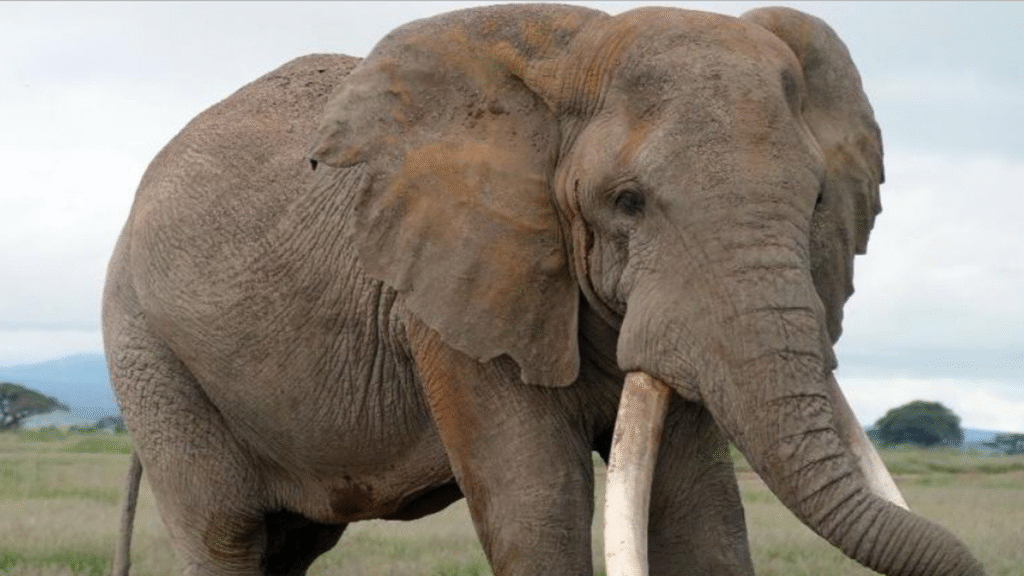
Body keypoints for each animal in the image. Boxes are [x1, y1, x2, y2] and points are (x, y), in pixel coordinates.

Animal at [103, 4, 986, 576]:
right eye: (627, 202)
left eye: (817, 200)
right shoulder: (450, 296)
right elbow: (539, 509)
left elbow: (698, 516)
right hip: (149, 348)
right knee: (226, 533)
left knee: (291, 545)